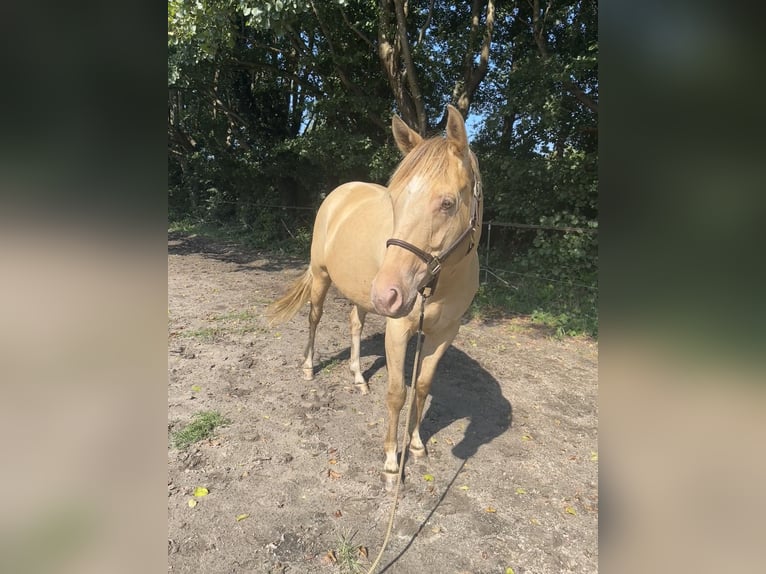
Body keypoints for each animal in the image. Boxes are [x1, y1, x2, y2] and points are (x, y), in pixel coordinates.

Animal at [270, 106, 484, 488]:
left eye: (447, 203)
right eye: (395, 201)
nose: (388, 293)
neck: (439, 283)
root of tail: (341, 191)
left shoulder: (445, 332)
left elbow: (422, 387)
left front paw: (416, 445)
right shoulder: (398, 330)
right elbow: (397, 393)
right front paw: (391, 463)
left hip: (361, 293)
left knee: (355, 324)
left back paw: (357, 376)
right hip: (322, 277)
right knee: (314, 318)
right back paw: (308, 368)